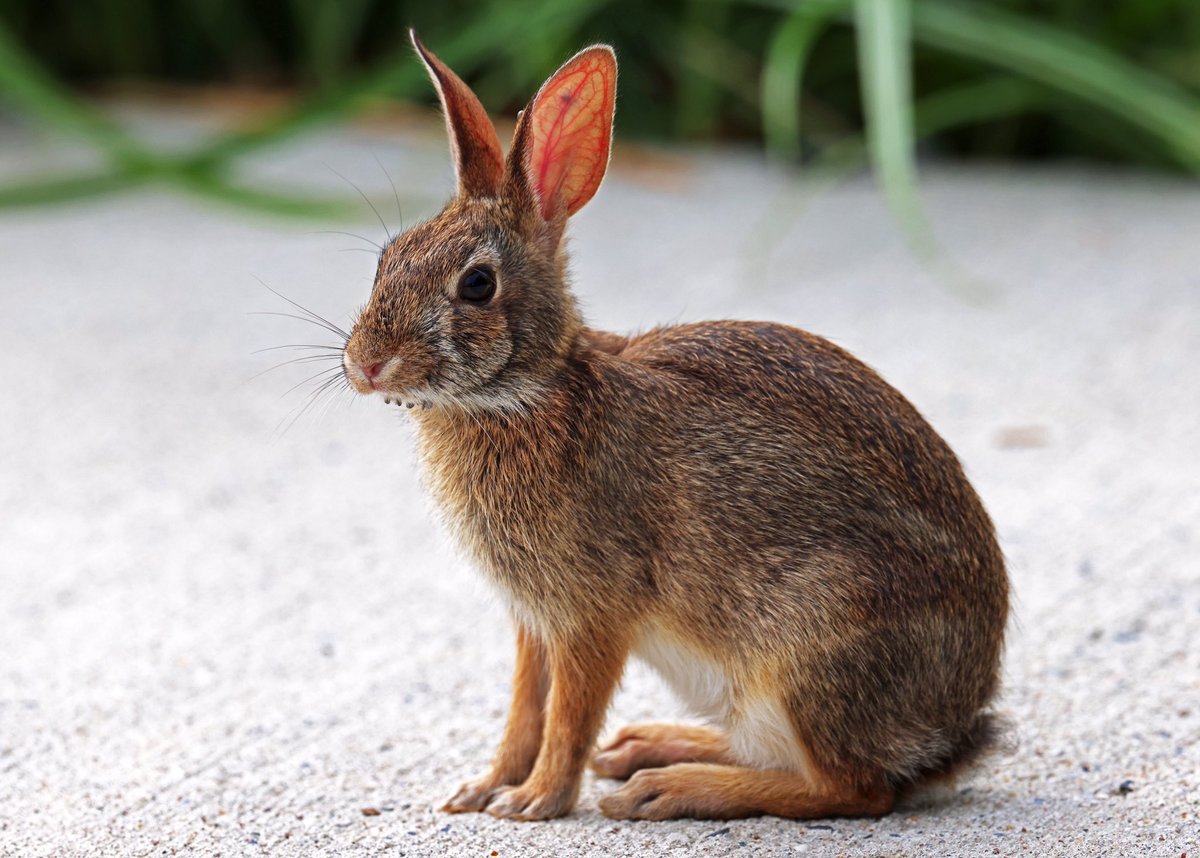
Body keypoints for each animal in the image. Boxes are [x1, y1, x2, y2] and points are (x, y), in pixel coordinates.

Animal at [339, 31, 1010, 822]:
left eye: (477, 285)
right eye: (388, 259)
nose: (365, 365)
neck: (529, 392)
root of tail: (951, 734)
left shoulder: (593, 613)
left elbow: (568, 715)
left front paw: (534, 802)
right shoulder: (535, 622)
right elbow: (525, 709)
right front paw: (484, 787)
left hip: (812, 644)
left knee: (853, 789)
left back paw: (670, 788)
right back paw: (648, 749)